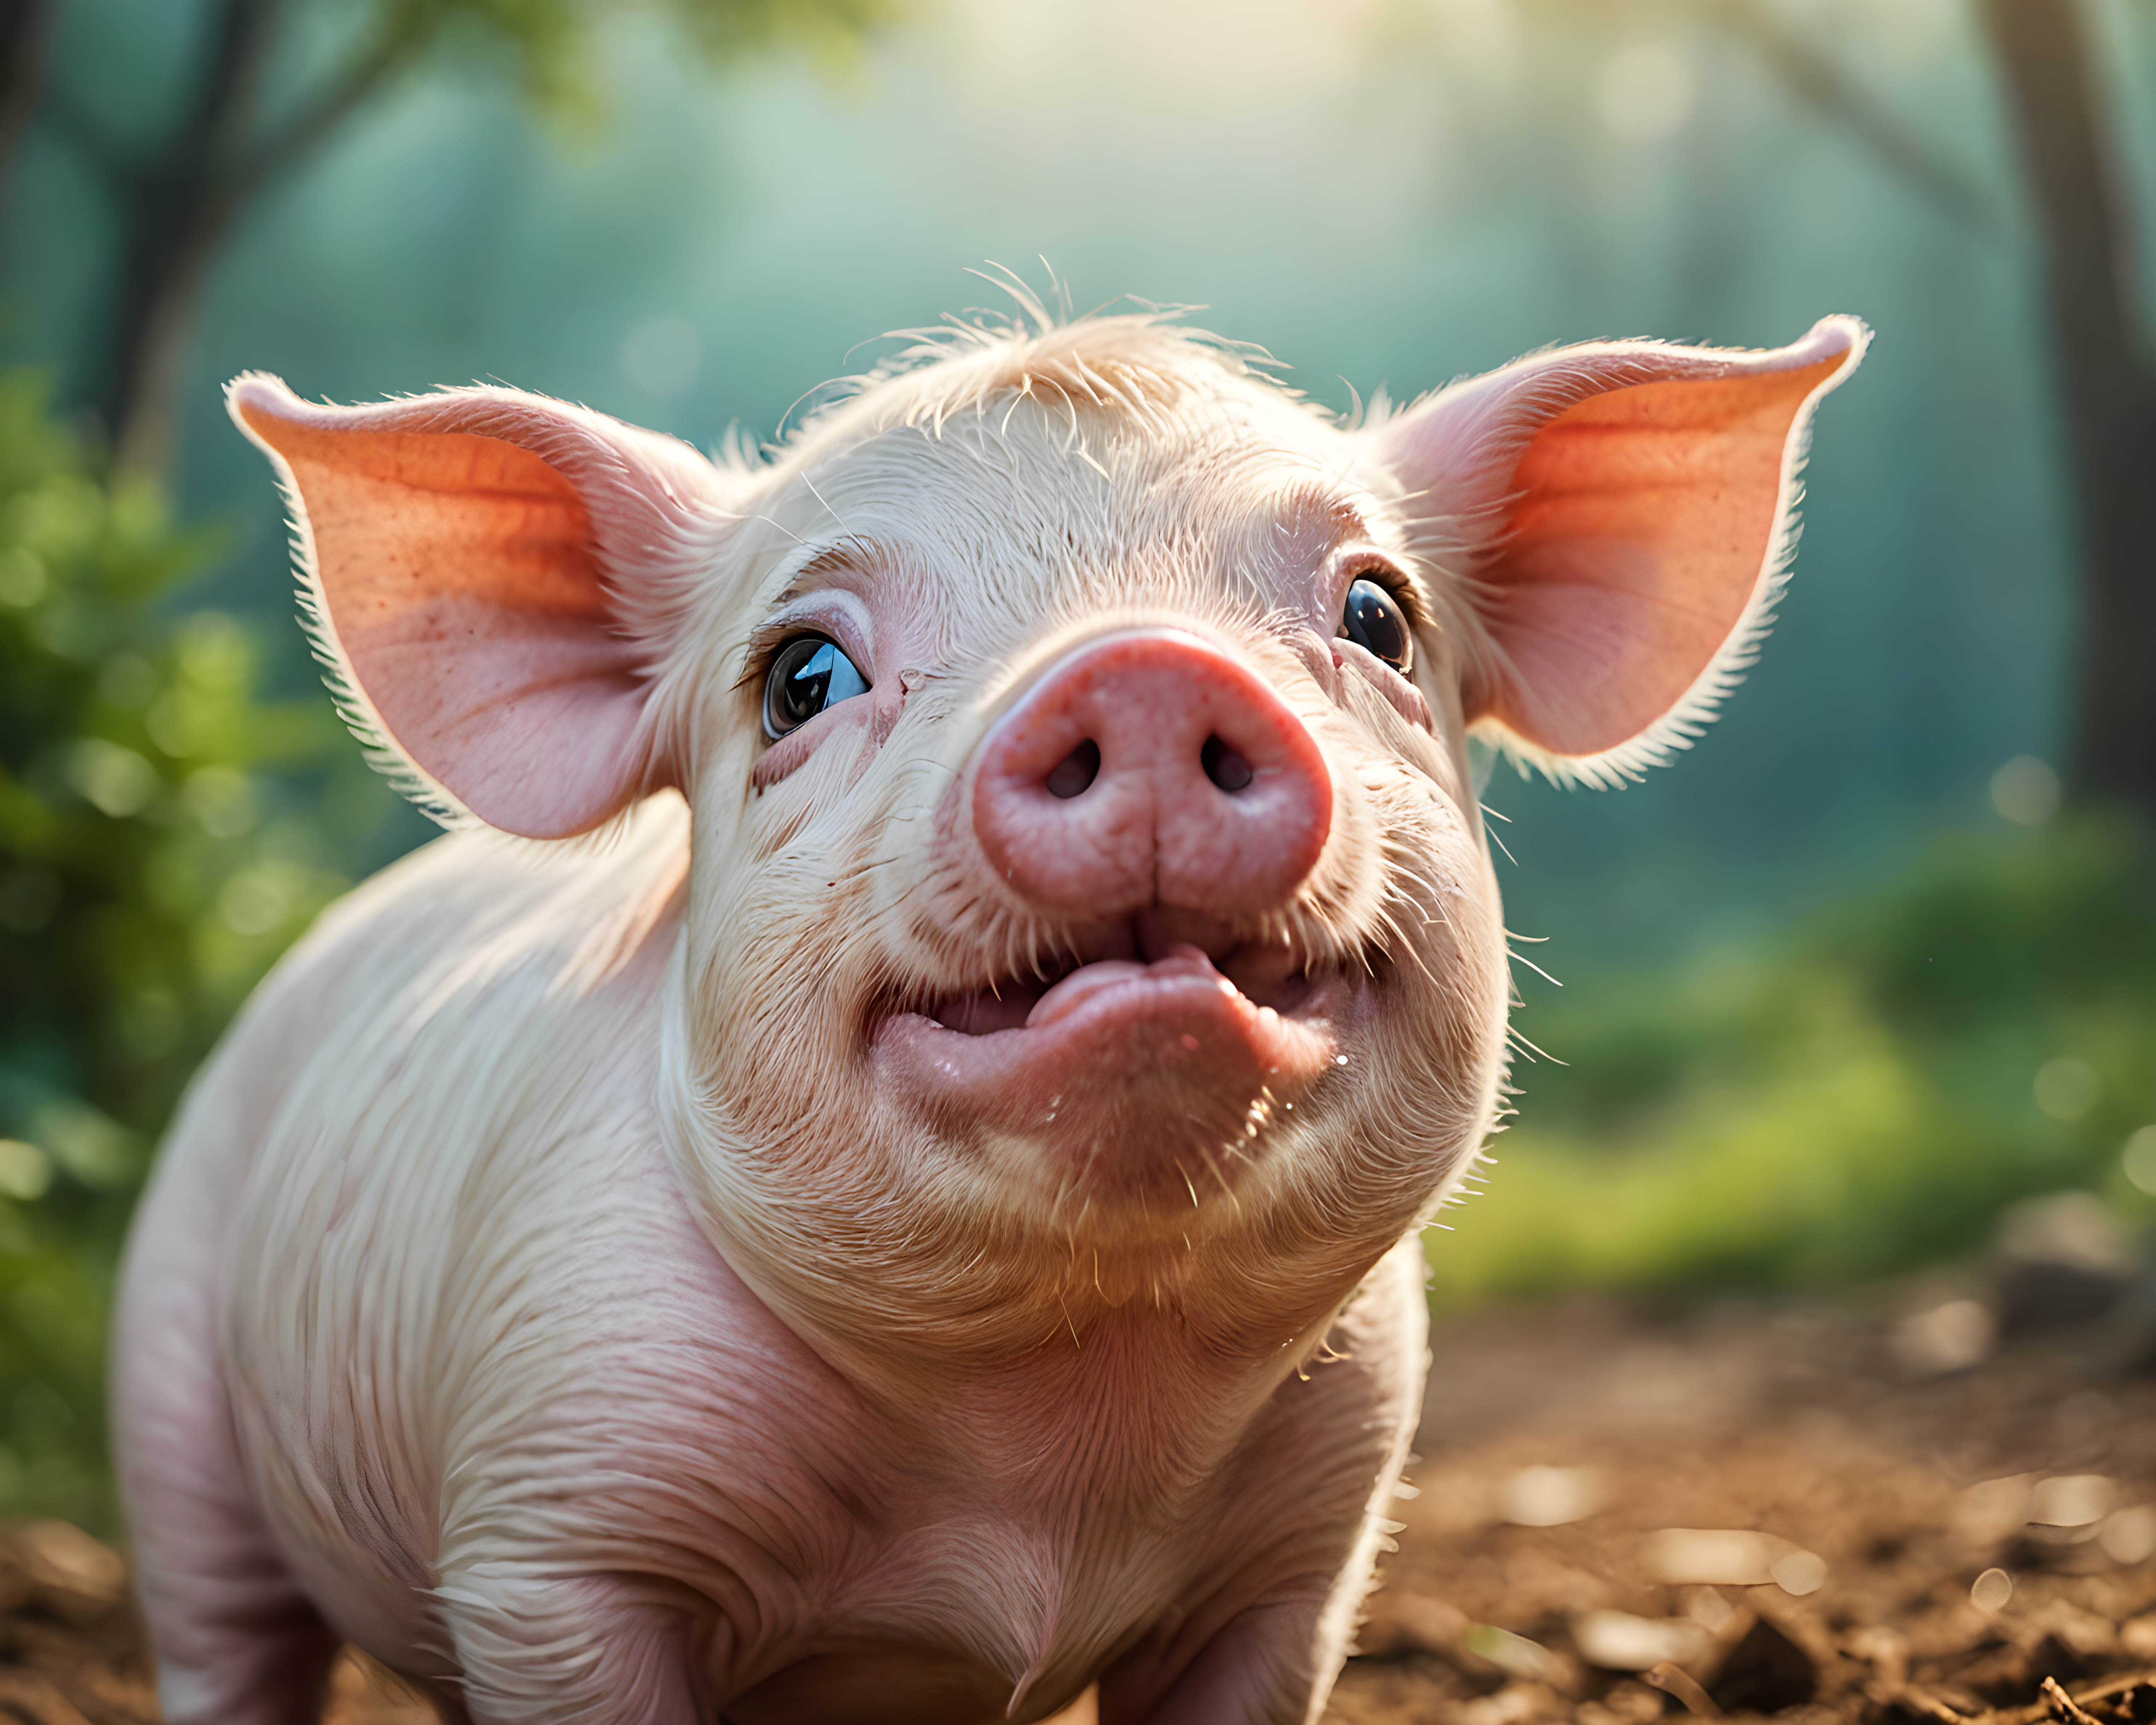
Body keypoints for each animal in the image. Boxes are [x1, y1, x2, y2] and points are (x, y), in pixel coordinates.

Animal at [112, 301, 1865, 1725]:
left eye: (1377, 615)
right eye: (802, 678)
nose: (1142, 668)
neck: (1054, 1451)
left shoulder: (1310, 1543)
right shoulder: (549, 1517)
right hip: (175, 1368)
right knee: (227, 1640)